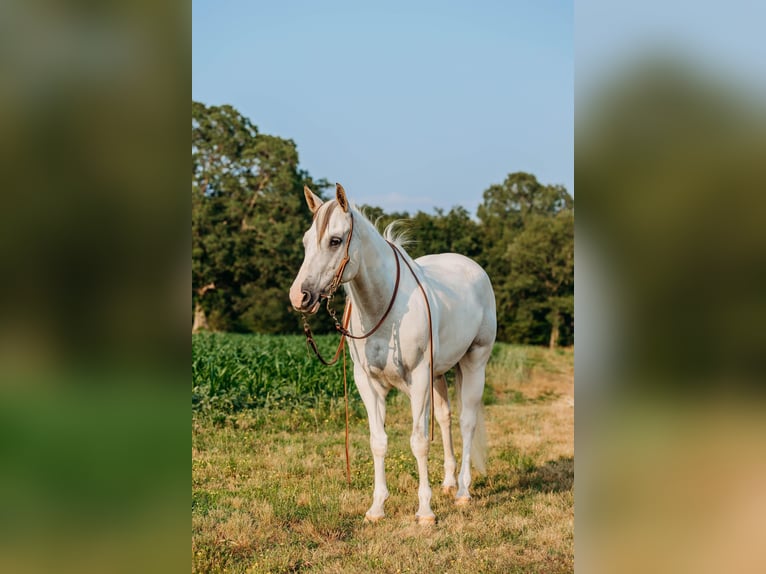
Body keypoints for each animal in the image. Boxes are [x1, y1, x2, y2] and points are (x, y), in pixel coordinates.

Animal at [288, 184, 498, 528]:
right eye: (306, 241)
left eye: (335, 240)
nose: (300, 296)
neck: (383, 306)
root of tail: (473, 268)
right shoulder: (369, 384)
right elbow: (379, 441)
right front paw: (377, 508)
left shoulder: (419, 379)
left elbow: (419, 442)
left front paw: (425, 511)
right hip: (440, 374)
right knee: (444, 419)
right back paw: (448, 483)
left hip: (474, 361)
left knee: (466, 421)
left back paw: (463, 491)